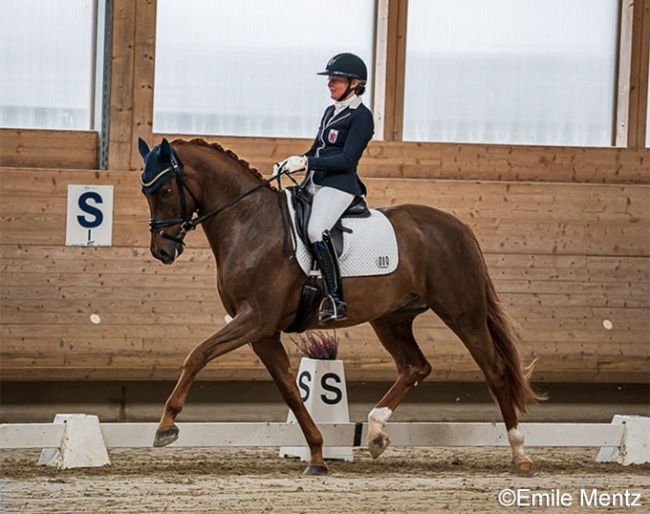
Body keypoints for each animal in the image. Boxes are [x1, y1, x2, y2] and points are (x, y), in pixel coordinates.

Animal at [140, 136, 540, 472]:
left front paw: (165, 426)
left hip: (462, 312)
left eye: (164, 189)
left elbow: (198, 355)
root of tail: (458, 227)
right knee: (415, 367)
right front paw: (317, 455)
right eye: (146, 192)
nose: (162, 251)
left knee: (495, 370)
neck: (249, 224)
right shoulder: (262, 333)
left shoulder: (254, 320)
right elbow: (291, 391)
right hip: (391, 319)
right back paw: (376, 432)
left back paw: (519, 452)